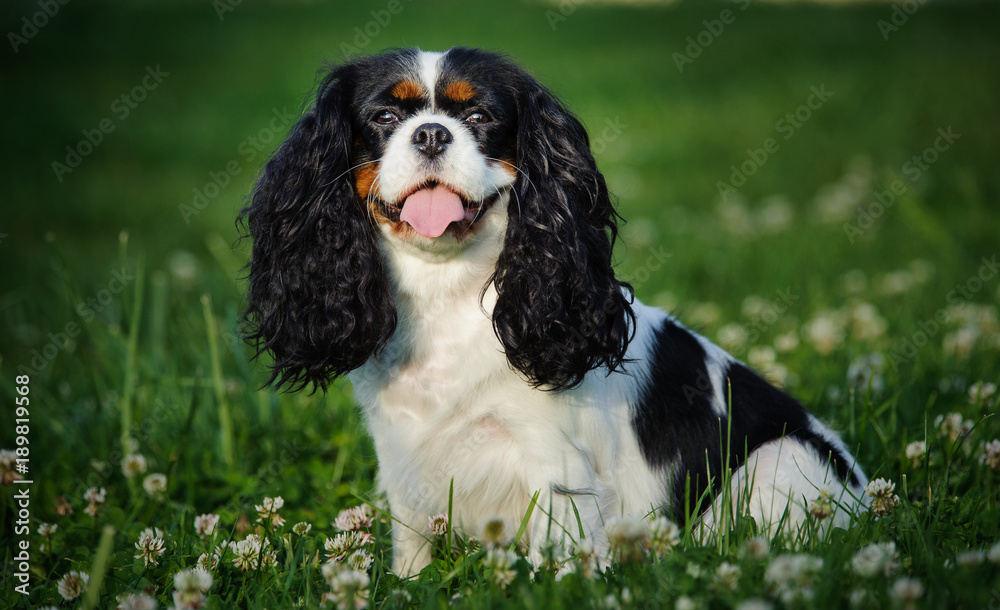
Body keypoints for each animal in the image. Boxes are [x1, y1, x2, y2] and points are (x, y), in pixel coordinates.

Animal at [238, 47, 864, 576]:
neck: (447, 288)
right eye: (385, 118)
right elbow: (410, 545)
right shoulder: (402, 457)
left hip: (781, 458)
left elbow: (556, 553)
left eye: (482, 117)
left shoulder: (554, 465)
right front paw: (407, 587)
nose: (432, 133)